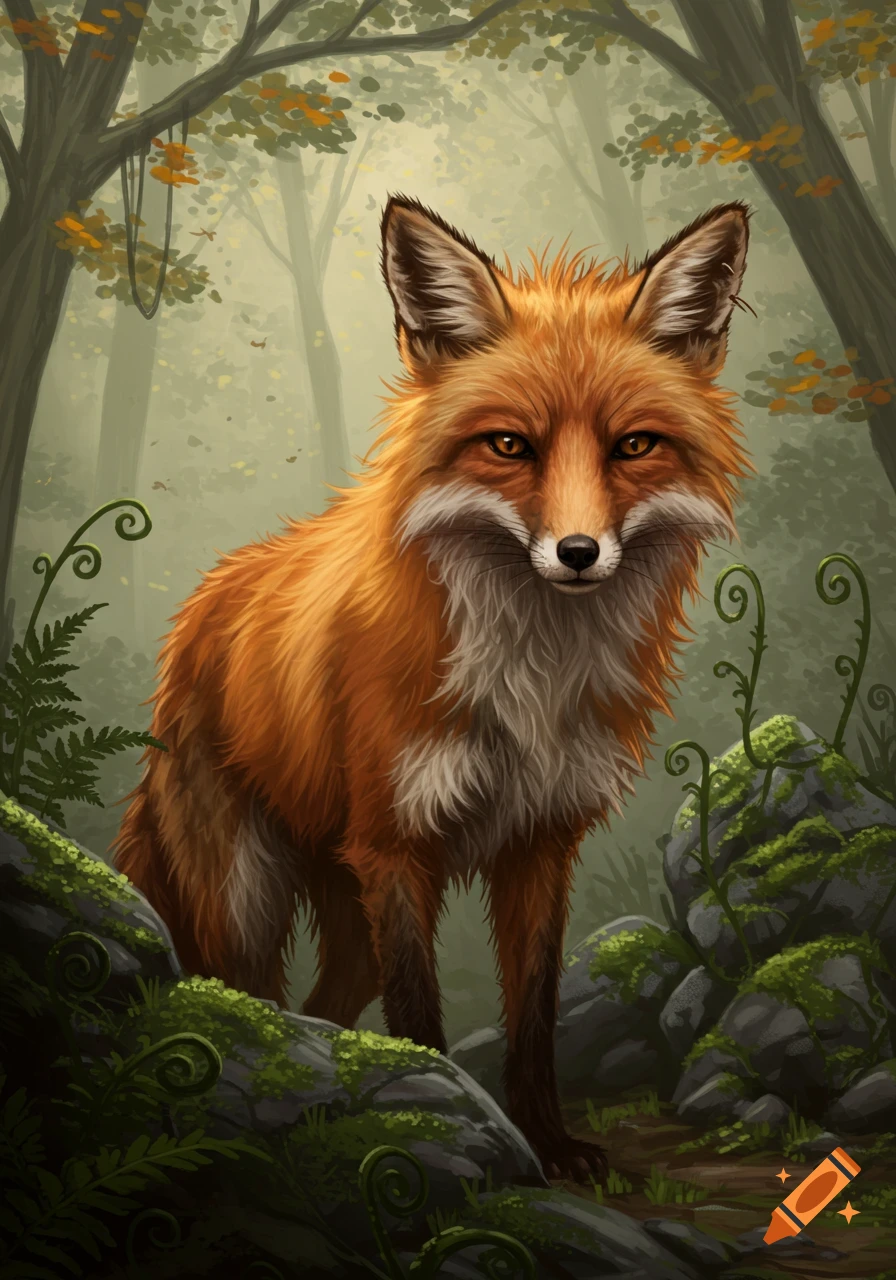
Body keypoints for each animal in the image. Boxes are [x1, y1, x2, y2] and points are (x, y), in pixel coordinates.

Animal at [114, 194, 751, 1182]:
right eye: (509, 446)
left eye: (634, 446)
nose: (578, 553)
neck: (528, 682)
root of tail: (206, 599)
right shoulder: (396, 846)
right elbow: (419, 1020)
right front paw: (453, 1147)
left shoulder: (539, 842)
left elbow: (533, 1020)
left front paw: (548, 1145)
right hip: (245, 895)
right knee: (247, 999)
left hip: (344, 911)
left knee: (323, 1010)